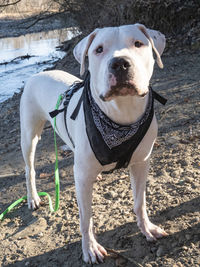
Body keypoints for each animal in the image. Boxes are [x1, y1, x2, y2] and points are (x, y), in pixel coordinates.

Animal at [19, 23, 167, 266]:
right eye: (98, 49)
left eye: (138, 43)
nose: (120, 63)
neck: (121, 115)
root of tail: (39, 73)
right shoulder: (82, 179)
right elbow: (86, 218)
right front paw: (90, 248)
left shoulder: (141, 163)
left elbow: (139, 202)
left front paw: (147, 228)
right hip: (29, 135)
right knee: (29, 169)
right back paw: (33, 198)